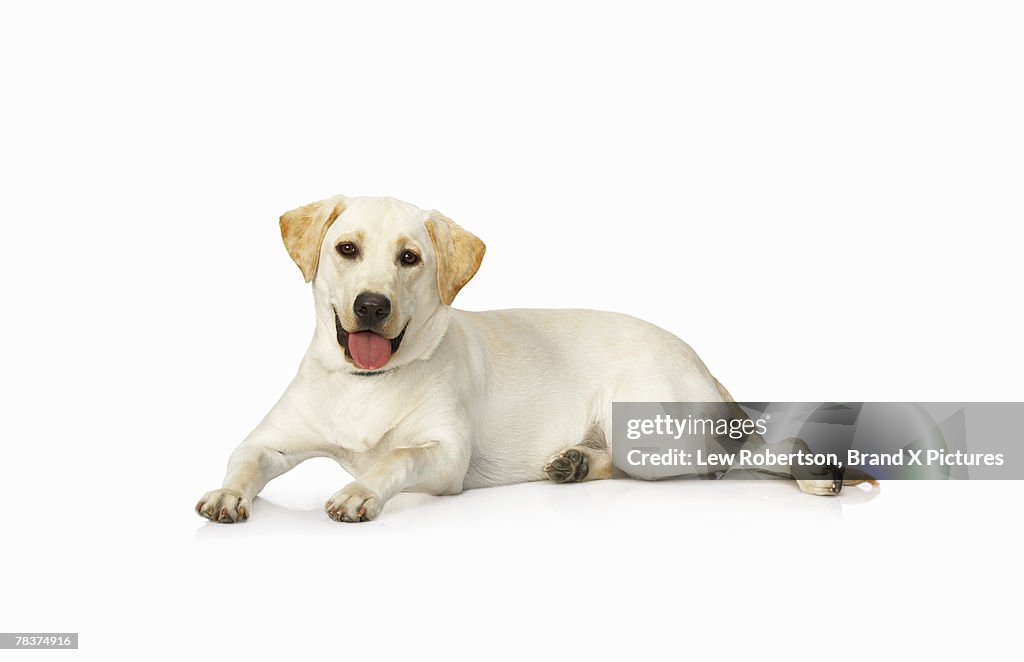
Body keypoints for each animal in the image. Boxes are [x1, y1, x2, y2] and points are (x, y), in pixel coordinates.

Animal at [195, 194, 851, 524]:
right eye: (346, 249)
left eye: (410, 257)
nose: (372, 305)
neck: (366, 380)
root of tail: (698, 358)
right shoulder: (268, 440)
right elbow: (243, 463)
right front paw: (226, 495)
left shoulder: (445, 456)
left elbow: (396, 459)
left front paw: (359, 491)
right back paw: (574, 464)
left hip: (657, 434)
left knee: (750, 452)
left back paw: (817, 472)